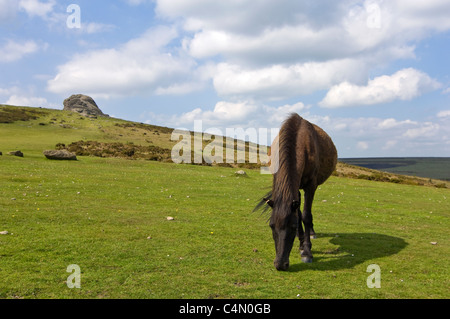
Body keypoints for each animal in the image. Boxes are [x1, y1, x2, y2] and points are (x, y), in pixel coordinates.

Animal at [256, 114, 338, 272]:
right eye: (271, 226)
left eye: (292, 227)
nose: (280, 264)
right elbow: (298, 215)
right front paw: (301, 245)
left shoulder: (310, 186)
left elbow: (306, 216)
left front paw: (307, 252)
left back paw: (311, 233)